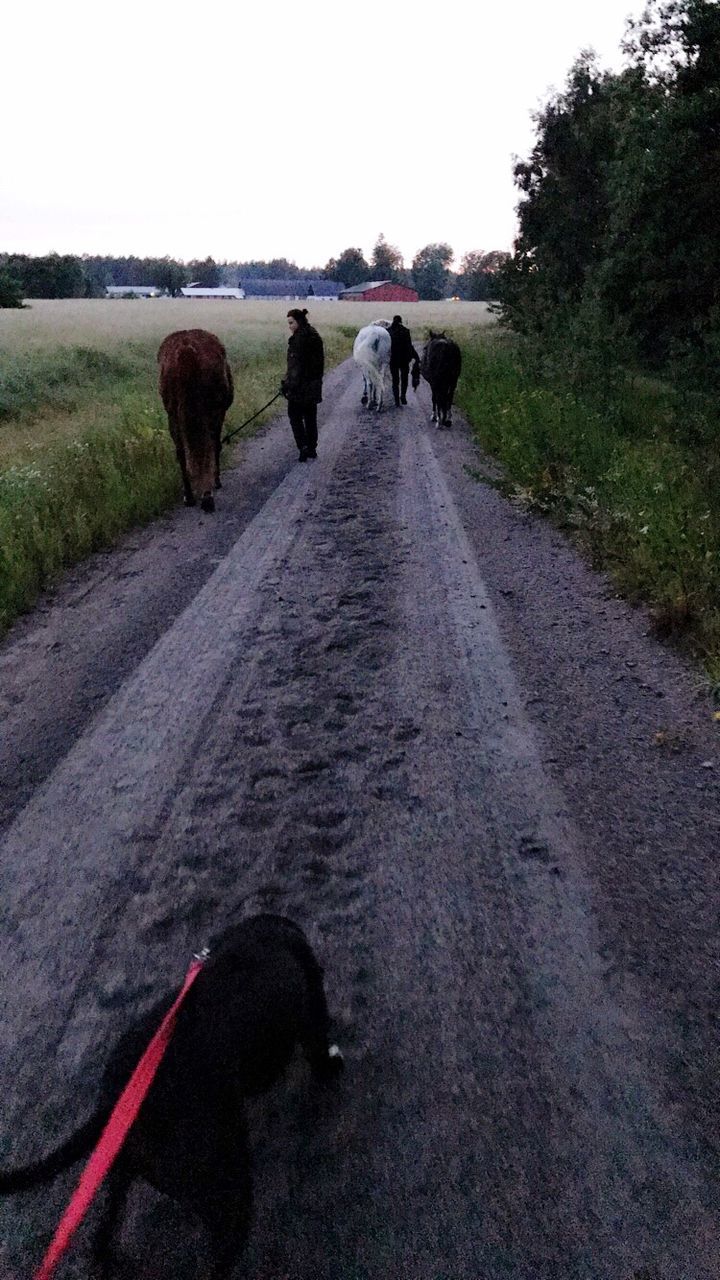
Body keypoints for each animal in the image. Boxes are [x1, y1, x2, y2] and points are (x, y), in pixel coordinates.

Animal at [0, 916, 340, 1274]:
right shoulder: (312, 1011)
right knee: (221, 1251)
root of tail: (112, 1101)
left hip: (125, 1166)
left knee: (102, 1232)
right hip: (223, 1182)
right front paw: (332, 1065)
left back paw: (114, 1262)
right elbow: (319, 1046)